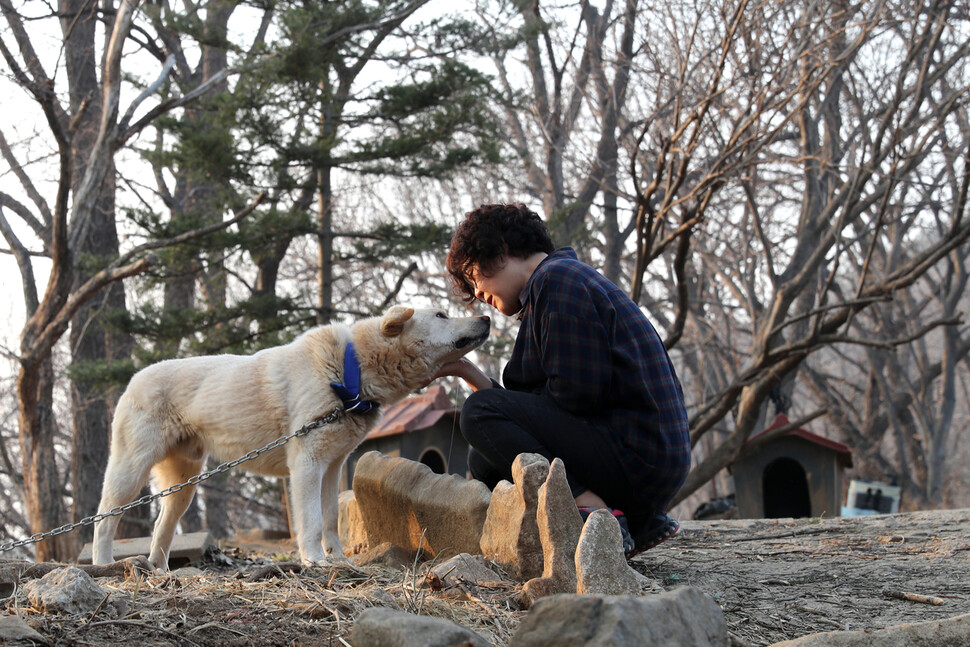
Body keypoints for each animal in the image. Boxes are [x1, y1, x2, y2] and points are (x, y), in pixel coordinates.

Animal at [91, 306, 488, 568]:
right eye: (441, 314)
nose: (486, 318)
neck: (350, 371)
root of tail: (133, 381)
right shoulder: (307, 466)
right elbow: (310, 523)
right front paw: (314, 561)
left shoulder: (332, 468)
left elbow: (329, 519)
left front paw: (339, 561)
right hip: (130, 474)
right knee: (103, 520)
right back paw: (104, 564)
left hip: (183, 487)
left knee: (161, 528)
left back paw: (159, 573)